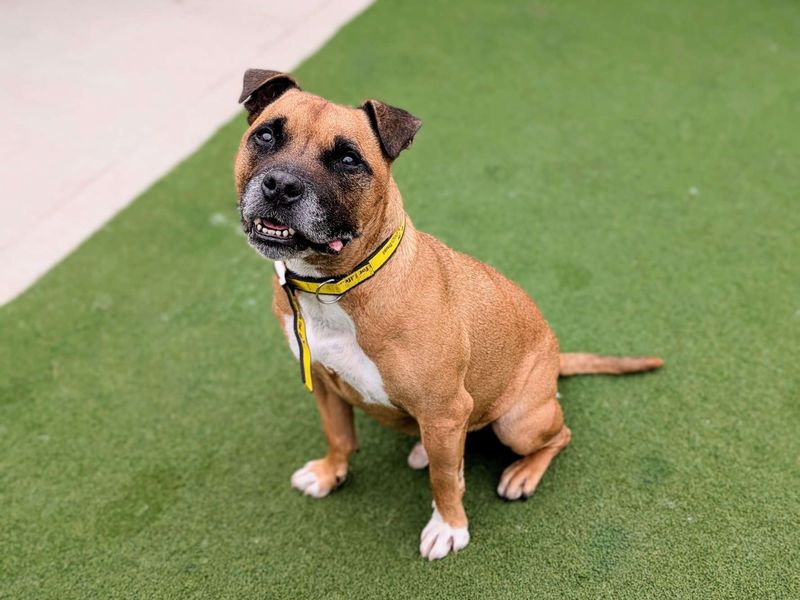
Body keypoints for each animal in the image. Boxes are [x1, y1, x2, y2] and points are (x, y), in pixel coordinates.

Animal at [231, 71, 664, 564]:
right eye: (266, 135)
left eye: (348, 159)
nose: (281, 185)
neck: (334, 288)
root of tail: (555, 360)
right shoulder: (324, 382)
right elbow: (338, 436)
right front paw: (328, 474)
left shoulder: (443, 410)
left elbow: (443, 480)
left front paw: (450, 526)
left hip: (517, 422)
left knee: (560, 435)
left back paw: (521, 473)